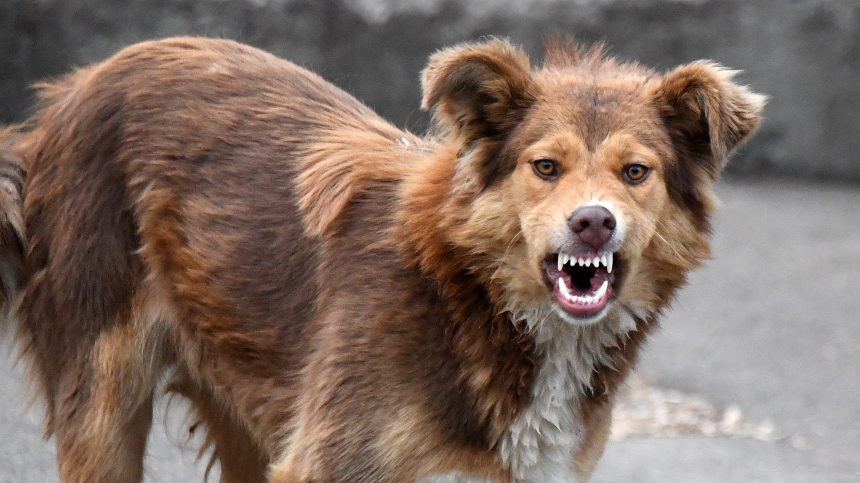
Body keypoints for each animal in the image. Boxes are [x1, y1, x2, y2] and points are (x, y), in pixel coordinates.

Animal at [0, 36, 764, 482]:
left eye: (636, 173)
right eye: (546, 167)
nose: (593, 224)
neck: (473, 297)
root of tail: (64, 97)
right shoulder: (328, 462)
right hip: (102, 402)